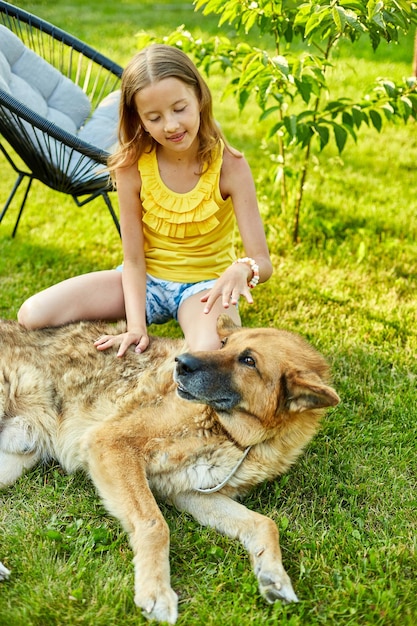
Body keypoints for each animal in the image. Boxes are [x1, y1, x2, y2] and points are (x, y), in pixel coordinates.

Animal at [0, 314, 338, 620]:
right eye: (223, 344)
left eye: (248, 361)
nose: (181, 363)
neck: (237, 437)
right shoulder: (112, 444)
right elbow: (154, 524)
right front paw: (156, 591)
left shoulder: (189, 491)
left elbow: (265, 523)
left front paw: (273, 575)